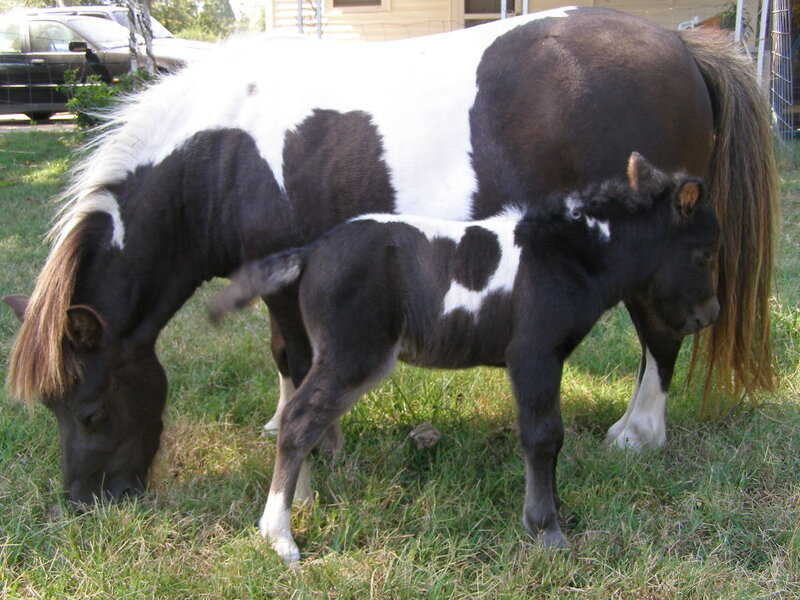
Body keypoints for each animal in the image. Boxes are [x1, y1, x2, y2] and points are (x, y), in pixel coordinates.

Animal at [3, 6, 776, 505]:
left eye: (90, 411)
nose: (88, 501)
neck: (223, 152)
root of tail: (683, 48)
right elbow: (289, 360)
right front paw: (294, 431)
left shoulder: (286, 280)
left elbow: (296, 359)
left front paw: (312, 455)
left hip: (659, 266)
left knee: (662, 337)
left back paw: (639, 434)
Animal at [208, 154, 720, 563]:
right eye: (704, 254)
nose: (707, 316)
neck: (568, 256)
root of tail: (312, 251)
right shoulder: (534, 354)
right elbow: (544, 437)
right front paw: (546, 529)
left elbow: (549, 439)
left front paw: (558, 513)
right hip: (355, 355)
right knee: (297, 420)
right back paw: (279, 534)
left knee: (304, 421)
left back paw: (301, 502)